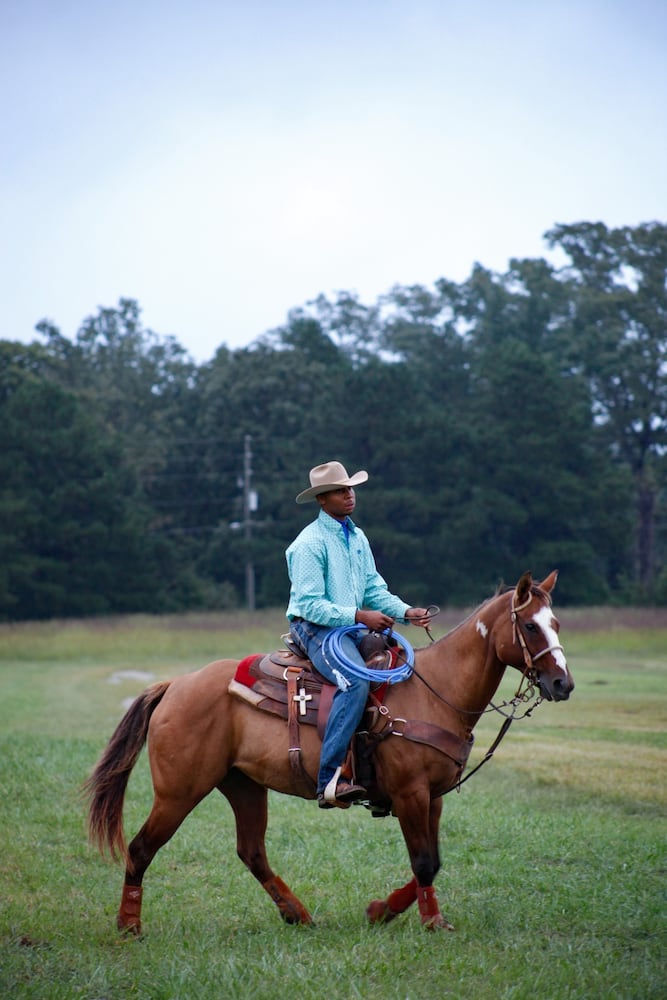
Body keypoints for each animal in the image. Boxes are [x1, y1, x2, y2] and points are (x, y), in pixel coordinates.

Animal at [83, 576, 576, 932]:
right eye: (530, 626)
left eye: (556, 624)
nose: (563, 683)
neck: (435, 692)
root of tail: (175, 686)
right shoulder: (411, 794)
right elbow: (423, 862)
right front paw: (432, 922)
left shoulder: (432, 796)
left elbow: (431, 863)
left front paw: (381, 910)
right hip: (179, 792)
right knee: (141, 848)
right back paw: (129, 926)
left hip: (243, 785)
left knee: (251, 851)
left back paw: (297, 914)